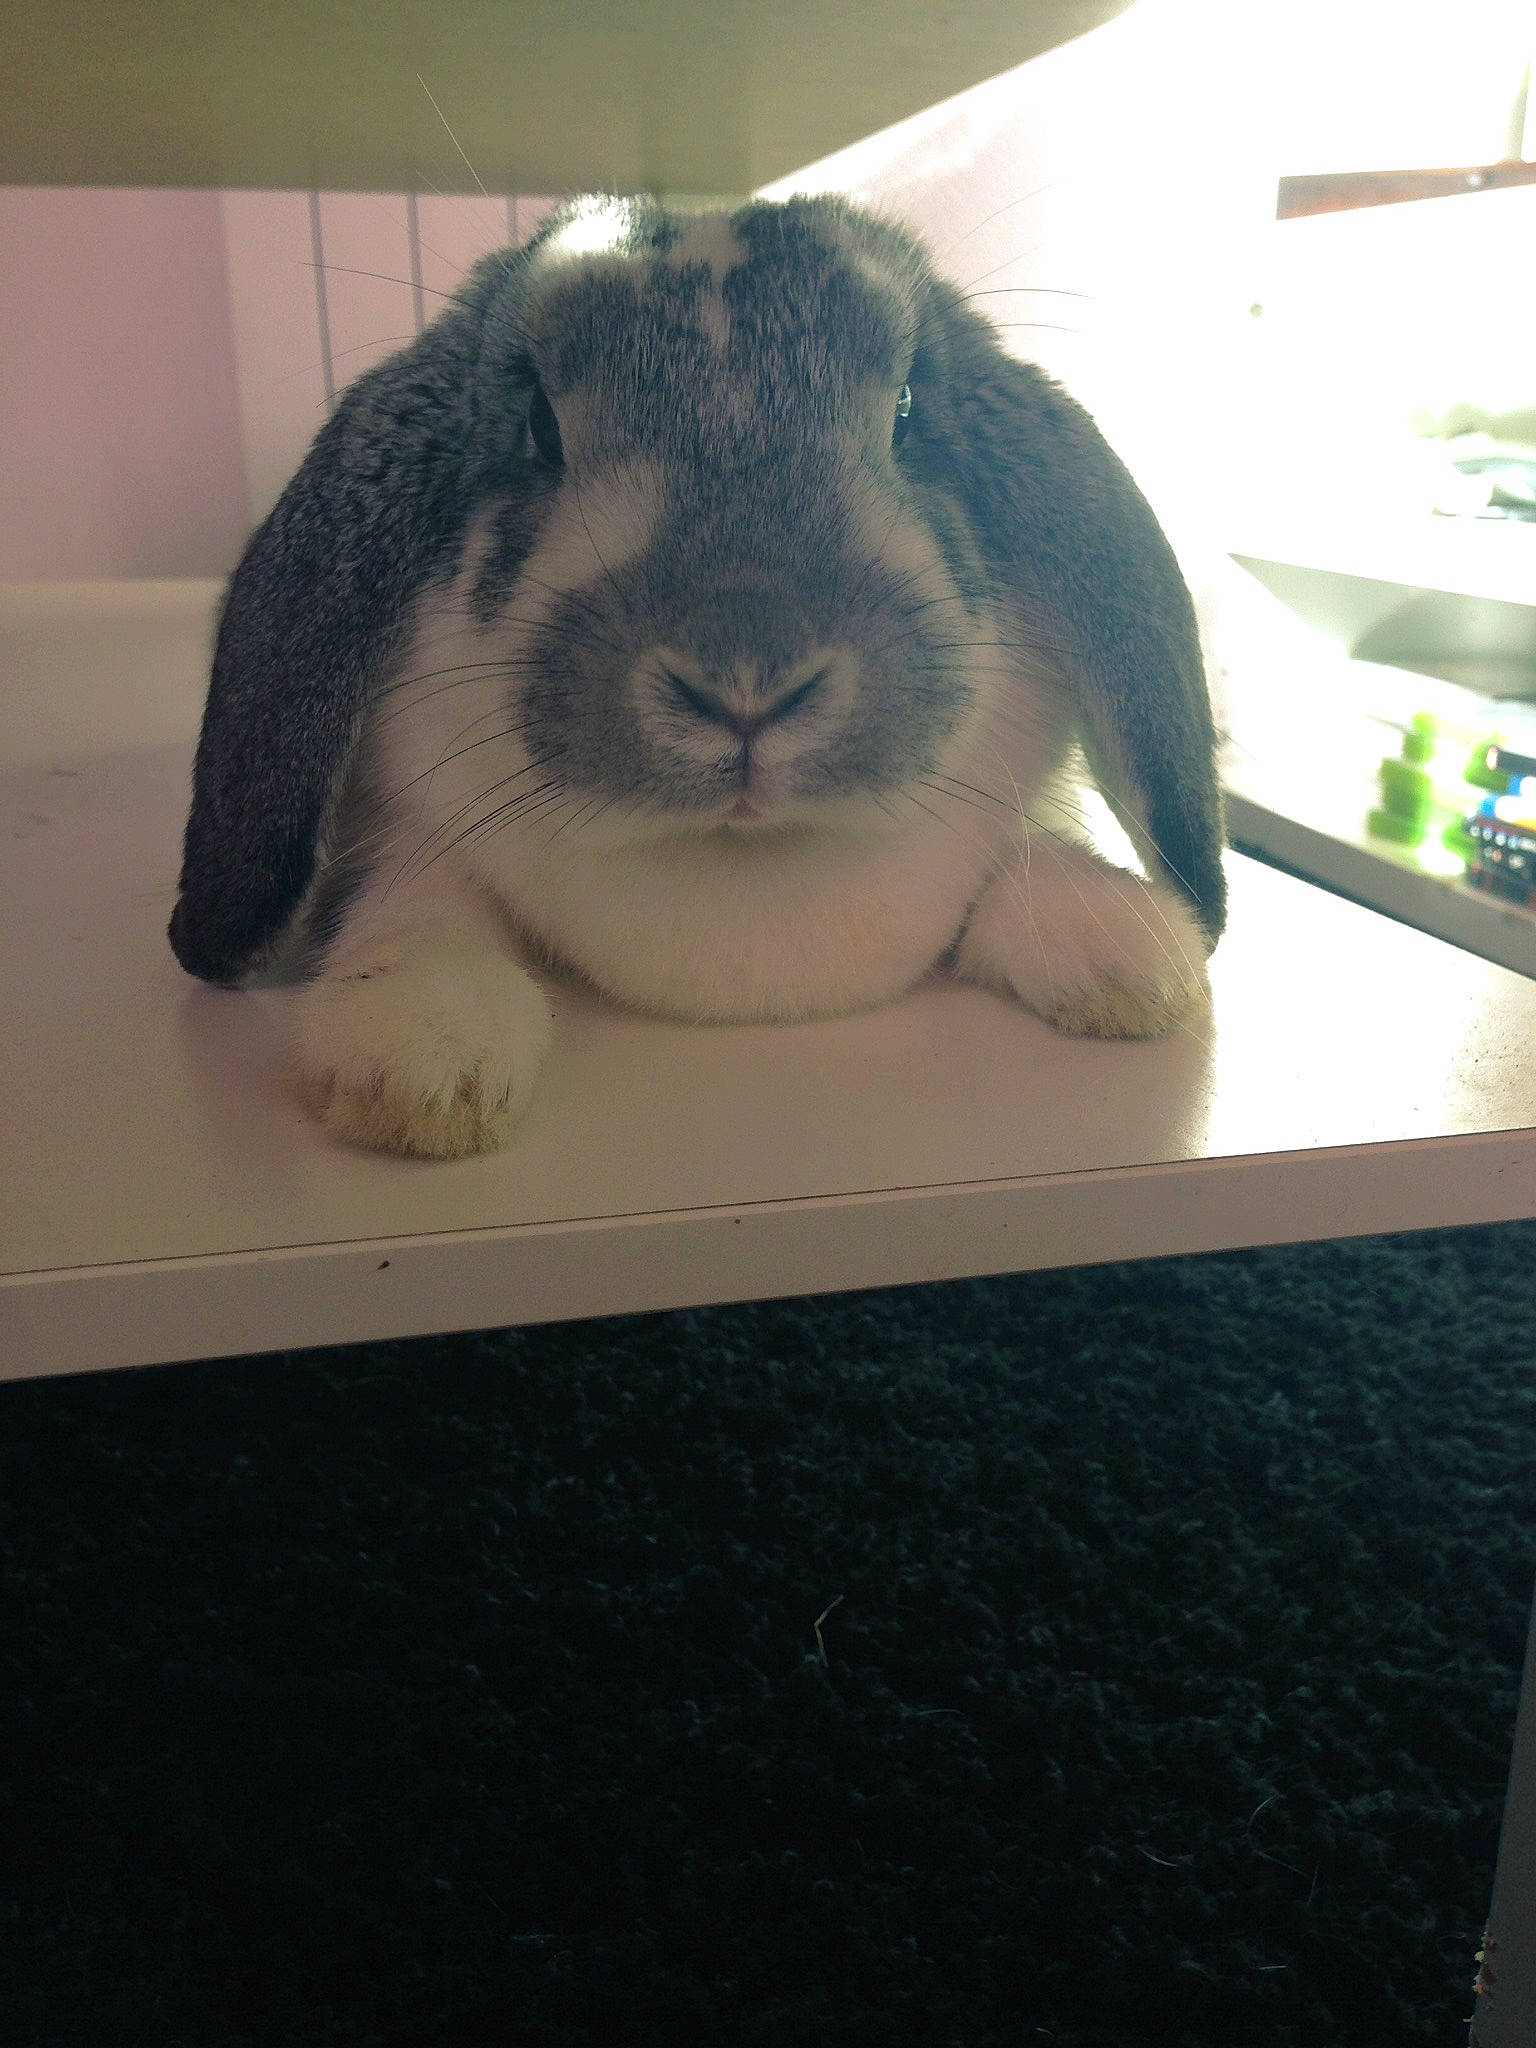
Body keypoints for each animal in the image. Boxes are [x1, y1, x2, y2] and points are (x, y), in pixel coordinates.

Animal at [169, 192, 1227, 1159]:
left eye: (909, 413)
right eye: (537, 425)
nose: (746, 683)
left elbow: (1030, 855)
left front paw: (1128, 948)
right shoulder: (410, 832)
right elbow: (416, 907)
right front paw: (422, 1050)